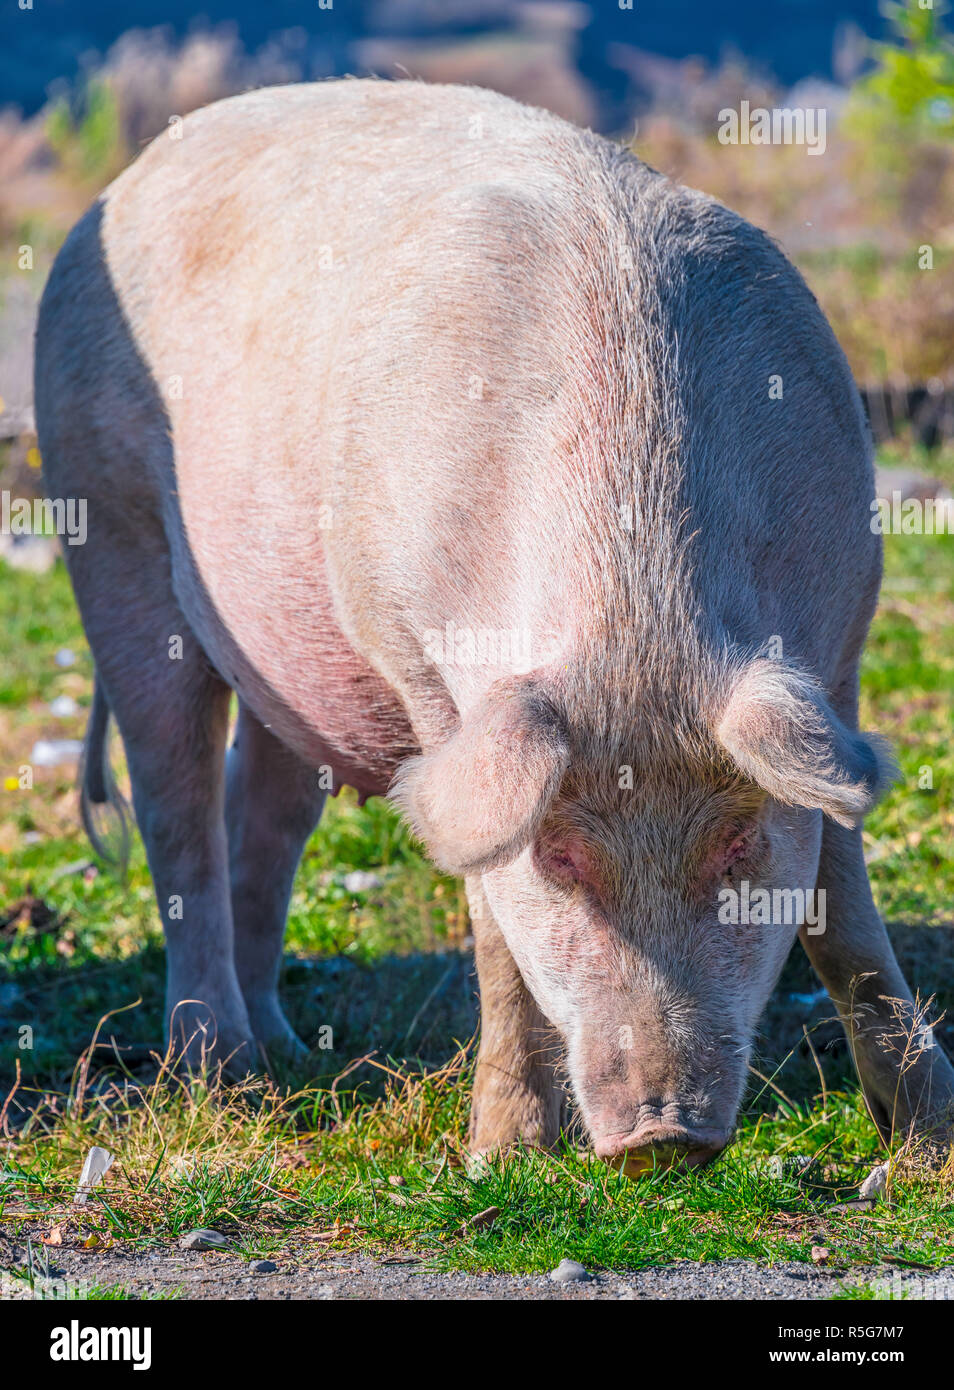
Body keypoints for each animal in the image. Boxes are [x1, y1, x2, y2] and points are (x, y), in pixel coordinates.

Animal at [35, 78, 954, 1173]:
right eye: (557, 858)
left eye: (738, 844)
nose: (660, 1135)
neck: (637, 620)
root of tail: (120, 185)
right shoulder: (428, 671)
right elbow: (490, 925)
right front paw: (501, 1157)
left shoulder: (839, 650)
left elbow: (844, 908)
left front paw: (925, 1149)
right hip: (107, 526)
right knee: (176, 808)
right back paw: (225, 1077)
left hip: (290, 648)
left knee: (263, 809)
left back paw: (286, 1053)